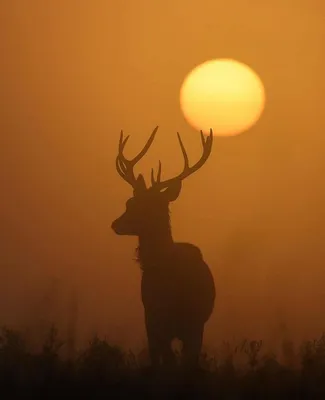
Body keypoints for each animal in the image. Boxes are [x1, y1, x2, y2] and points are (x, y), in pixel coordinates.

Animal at [110, 126, 215, 372]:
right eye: (129, 202)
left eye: (149, 206)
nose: (116, 224)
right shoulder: (153, 319)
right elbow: (164, 361)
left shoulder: (194, 323)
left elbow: (185, 363)